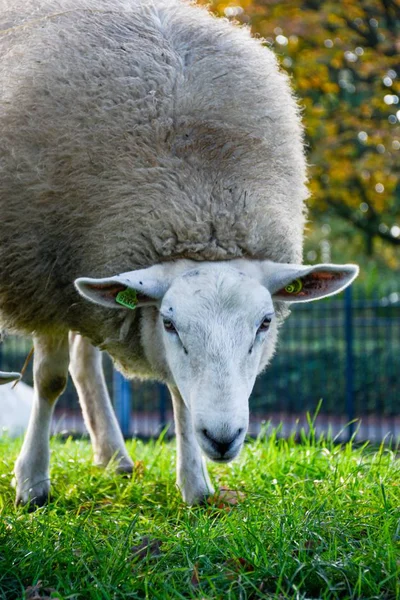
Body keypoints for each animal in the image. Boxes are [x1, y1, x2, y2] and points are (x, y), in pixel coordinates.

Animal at [0, 0, 358, 506]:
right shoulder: (40, 277)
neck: (202, 211)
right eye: (170, 323)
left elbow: (181, 396)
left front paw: (196, 486)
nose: (224, 439)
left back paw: (114, 456)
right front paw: (31, 482)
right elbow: (49, 380)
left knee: (85, 362)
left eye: (265, 323)